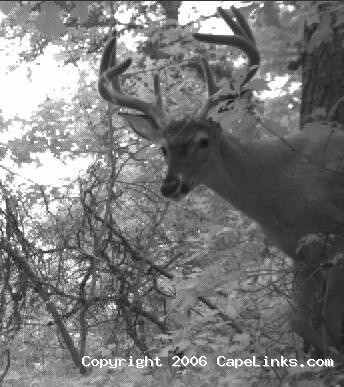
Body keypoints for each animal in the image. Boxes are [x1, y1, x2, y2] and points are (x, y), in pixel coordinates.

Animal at [97, 5, 344, 358]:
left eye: (203, 141)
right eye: (163, 148)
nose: (169, 186)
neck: (282, 189)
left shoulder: (335, 236)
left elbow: (328, 322)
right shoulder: (302, 251)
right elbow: (301, 320)